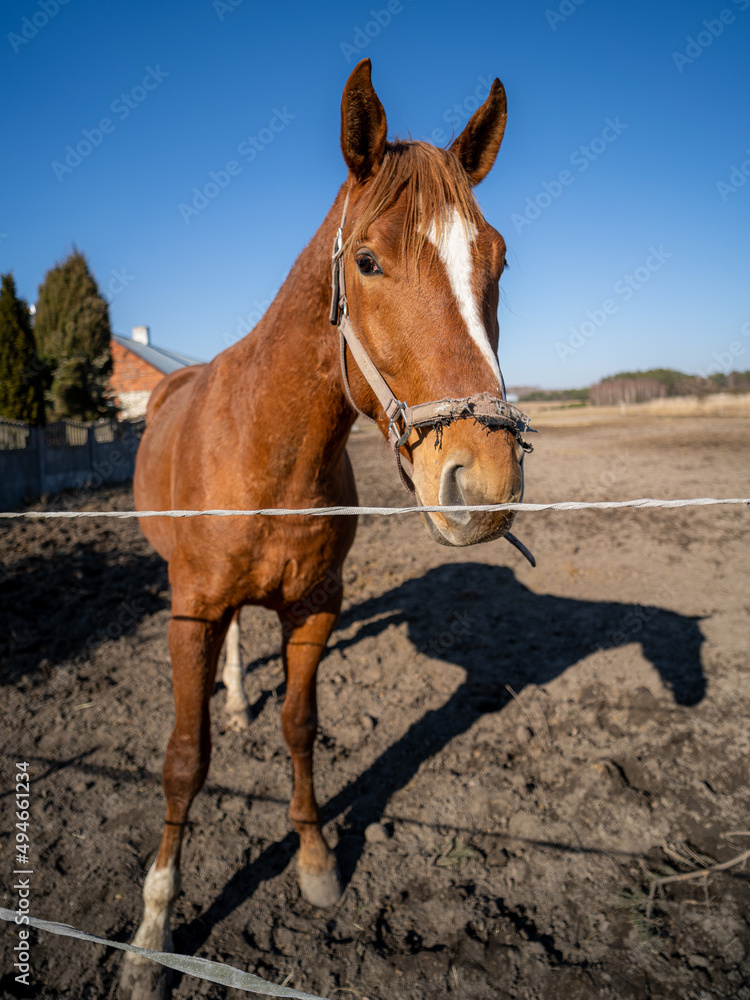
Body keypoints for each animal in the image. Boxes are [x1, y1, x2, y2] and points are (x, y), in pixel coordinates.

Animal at [121, 58, 532, 999]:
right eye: (369, 261)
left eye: (497, 259)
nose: (484, 483)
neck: (266, 452)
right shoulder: (191, 611)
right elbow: (184, 759)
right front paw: (152, 933)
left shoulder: (315, 610)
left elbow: (300, 731)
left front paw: (314, 866)